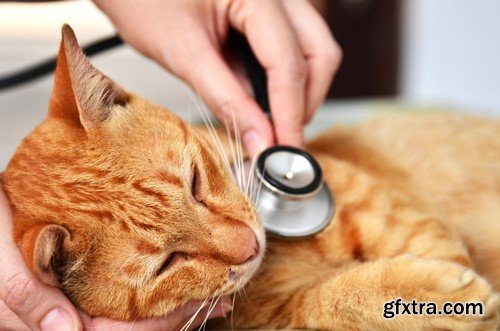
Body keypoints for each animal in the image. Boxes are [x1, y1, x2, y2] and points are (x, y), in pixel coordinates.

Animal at [1, 25, 498, 330]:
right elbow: (335, 301)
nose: (251, 245)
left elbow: (433, 243)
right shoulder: (281, 317)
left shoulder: (380, 205)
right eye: (169, 263)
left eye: (195, 182)